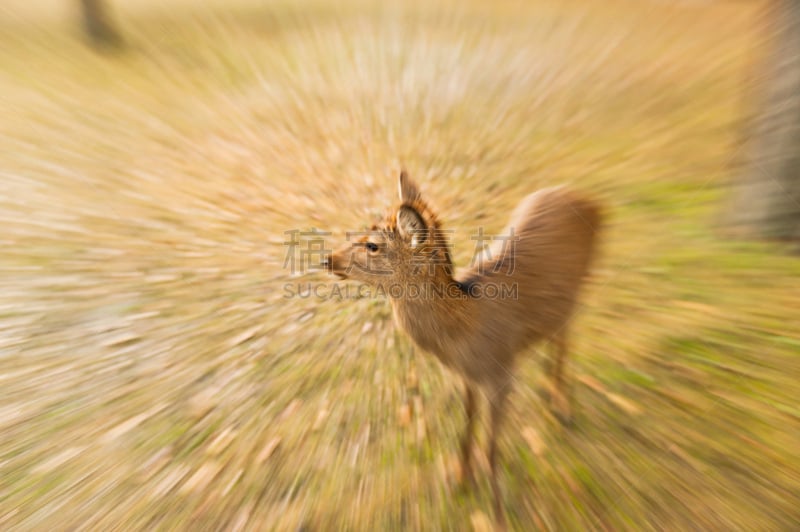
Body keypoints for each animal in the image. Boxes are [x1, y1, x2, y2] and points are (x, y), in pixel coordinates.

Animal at [320, 171, 600, 524]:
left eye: (372, 245)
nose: (327, 259)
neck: (464, 336)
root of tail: (592, 201)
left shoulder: (501, 374)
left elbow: (492, 447)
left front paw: (497, 512)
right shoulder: (468, 378)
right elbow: (466, 427)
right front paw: (461, 480)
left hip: (579, 288)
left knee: (565, 339)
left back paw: (563, 407)